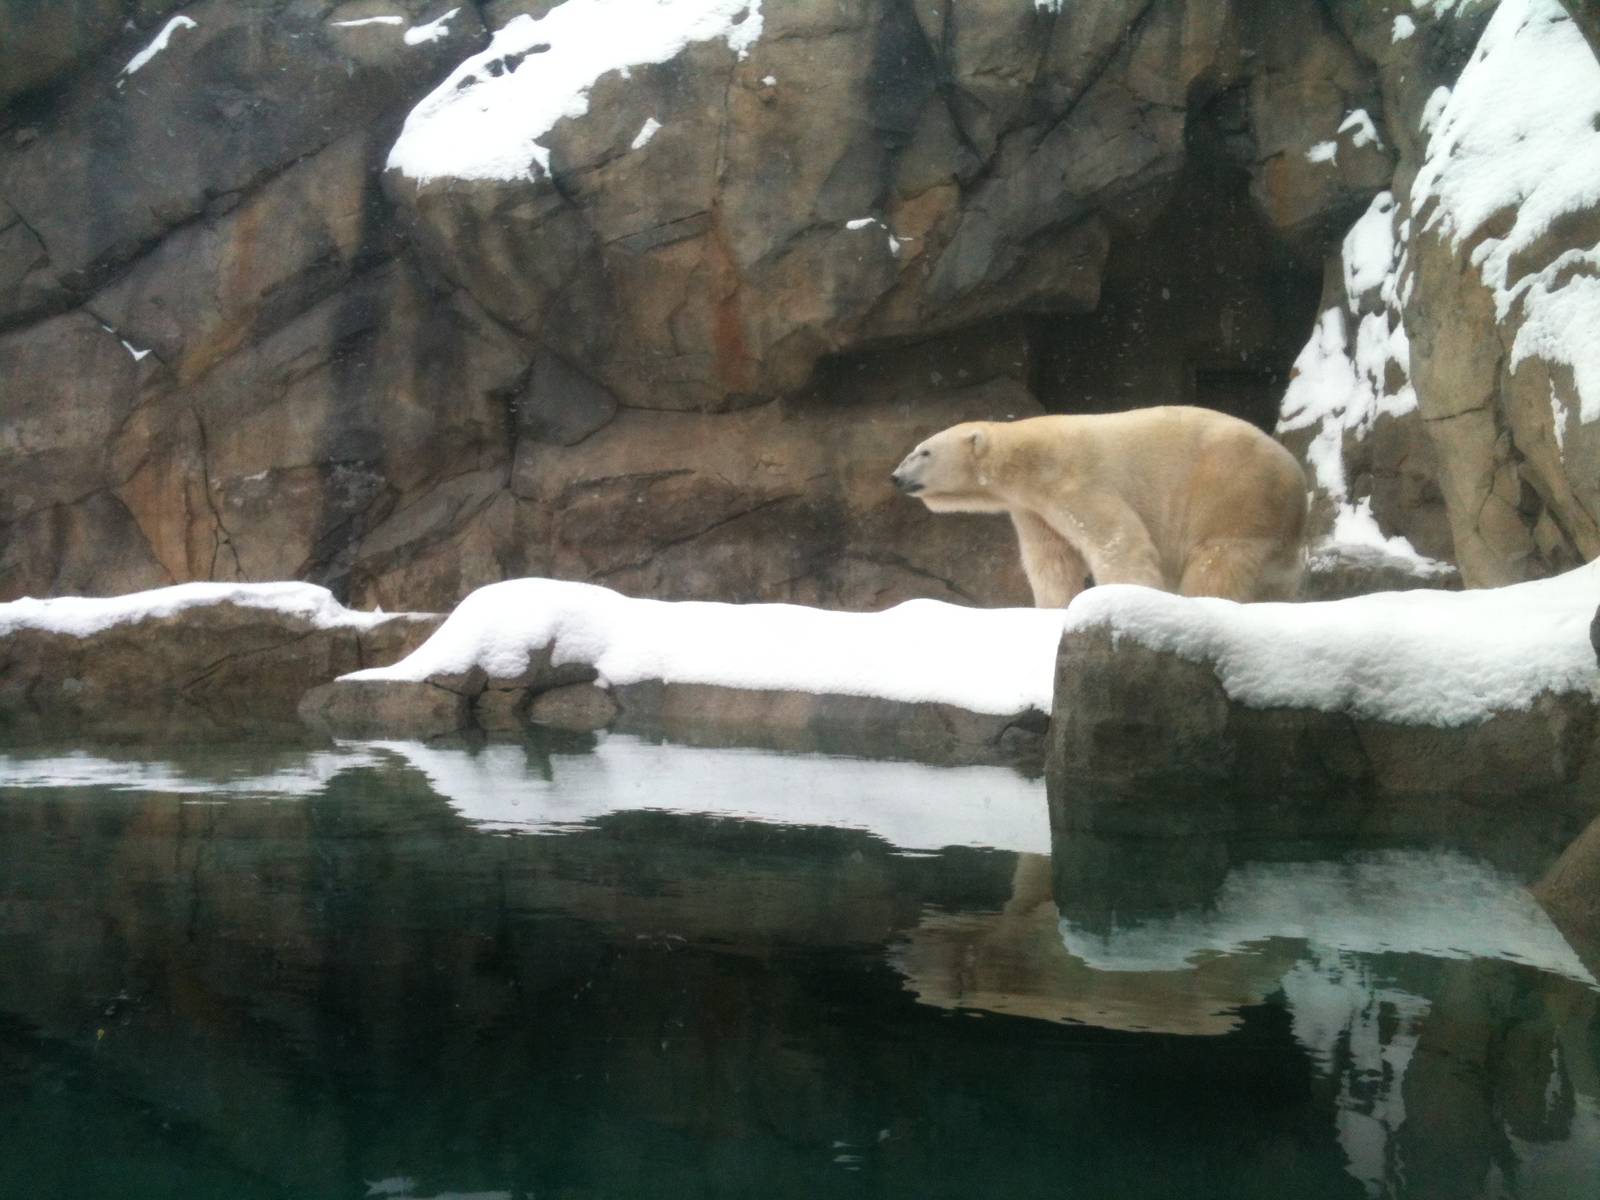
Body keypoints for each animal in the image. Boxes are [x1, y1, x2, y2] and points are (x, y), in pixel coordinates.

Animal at [891, 406, 1308, 607]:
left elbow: (1118, 541)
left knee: (1219, 560)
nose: (895, 477)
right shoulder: (1031, 508)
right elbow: (1052, 560)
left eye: (923, 452)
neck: (1027, 456)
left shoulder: (1073, 480)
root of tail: (1295, 478)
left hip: (1233, 492)